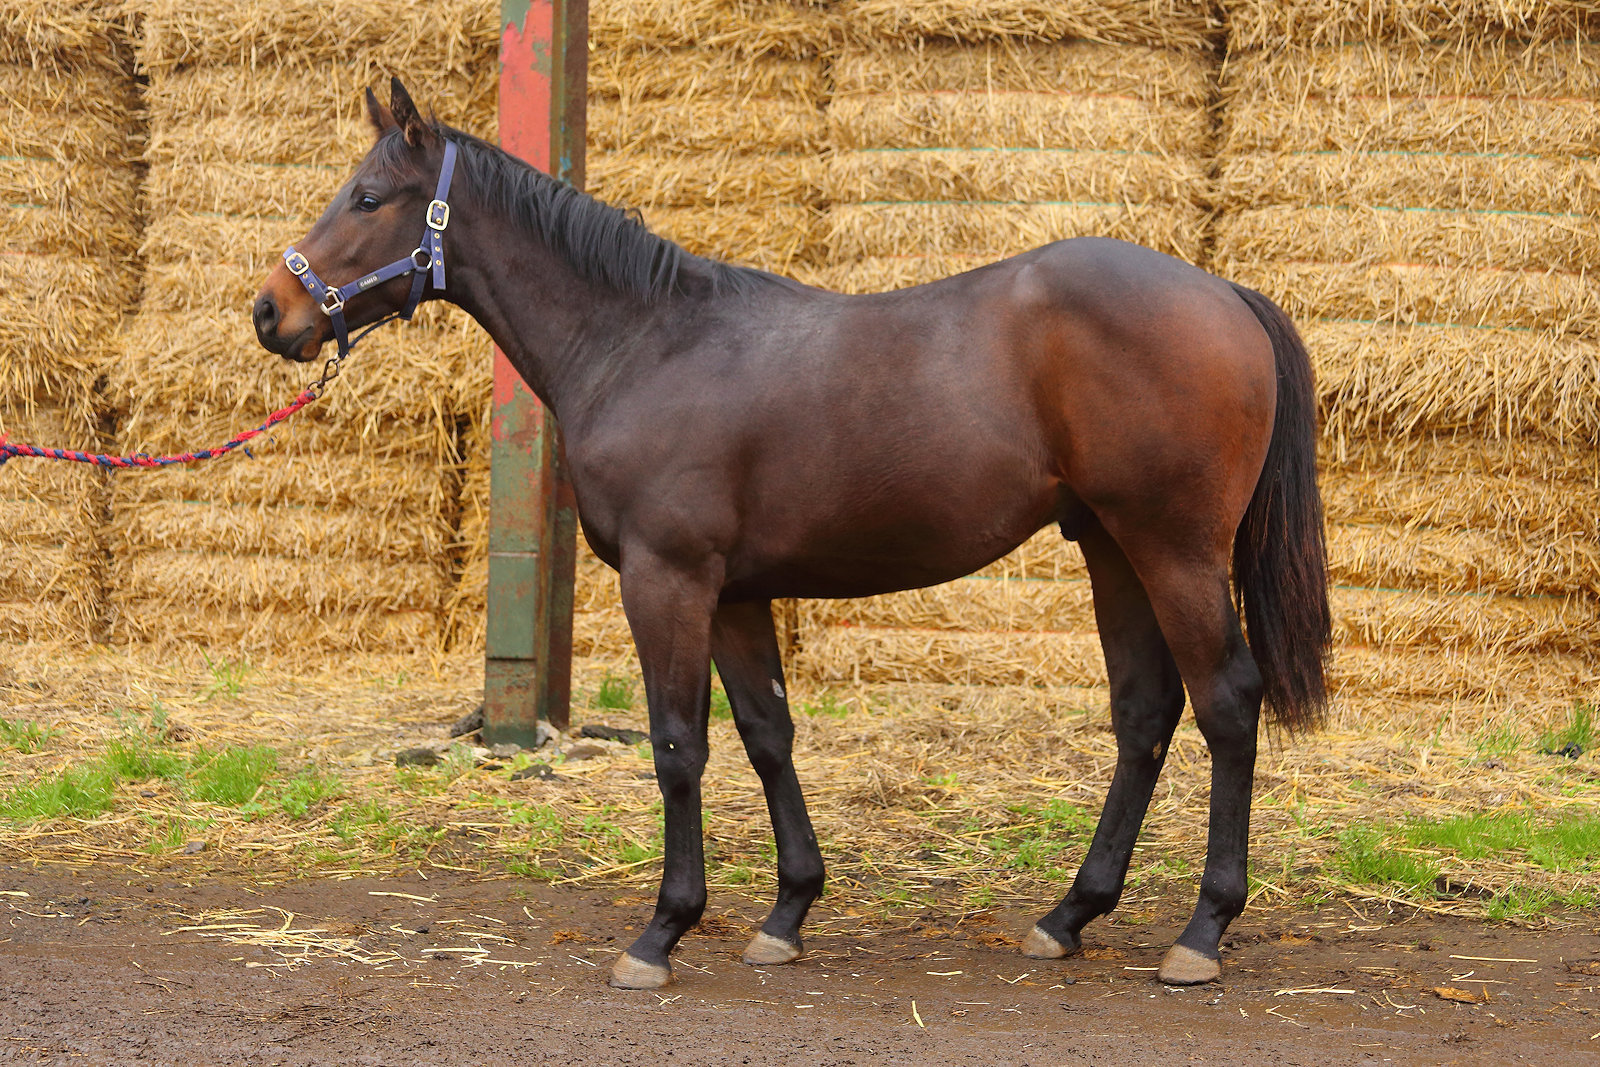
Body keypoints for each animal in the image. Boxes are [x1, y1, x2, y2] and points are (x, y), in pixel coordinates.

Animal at [253, 79, 1331, 990]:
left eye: (368, 197)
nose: (273, 310)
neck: (645, 342)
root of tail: (1225, 293)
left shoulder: (668, 579)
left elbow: (678, 744)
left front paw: (663, 929)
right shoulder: (734, 592)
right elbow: (768, 735)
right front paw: (787, 912)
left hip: (1173, 549)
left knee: (1226, 703)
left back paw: (1201, 931)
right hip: (1112, 548)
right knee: (1144, 714)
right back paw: (1069, 914)